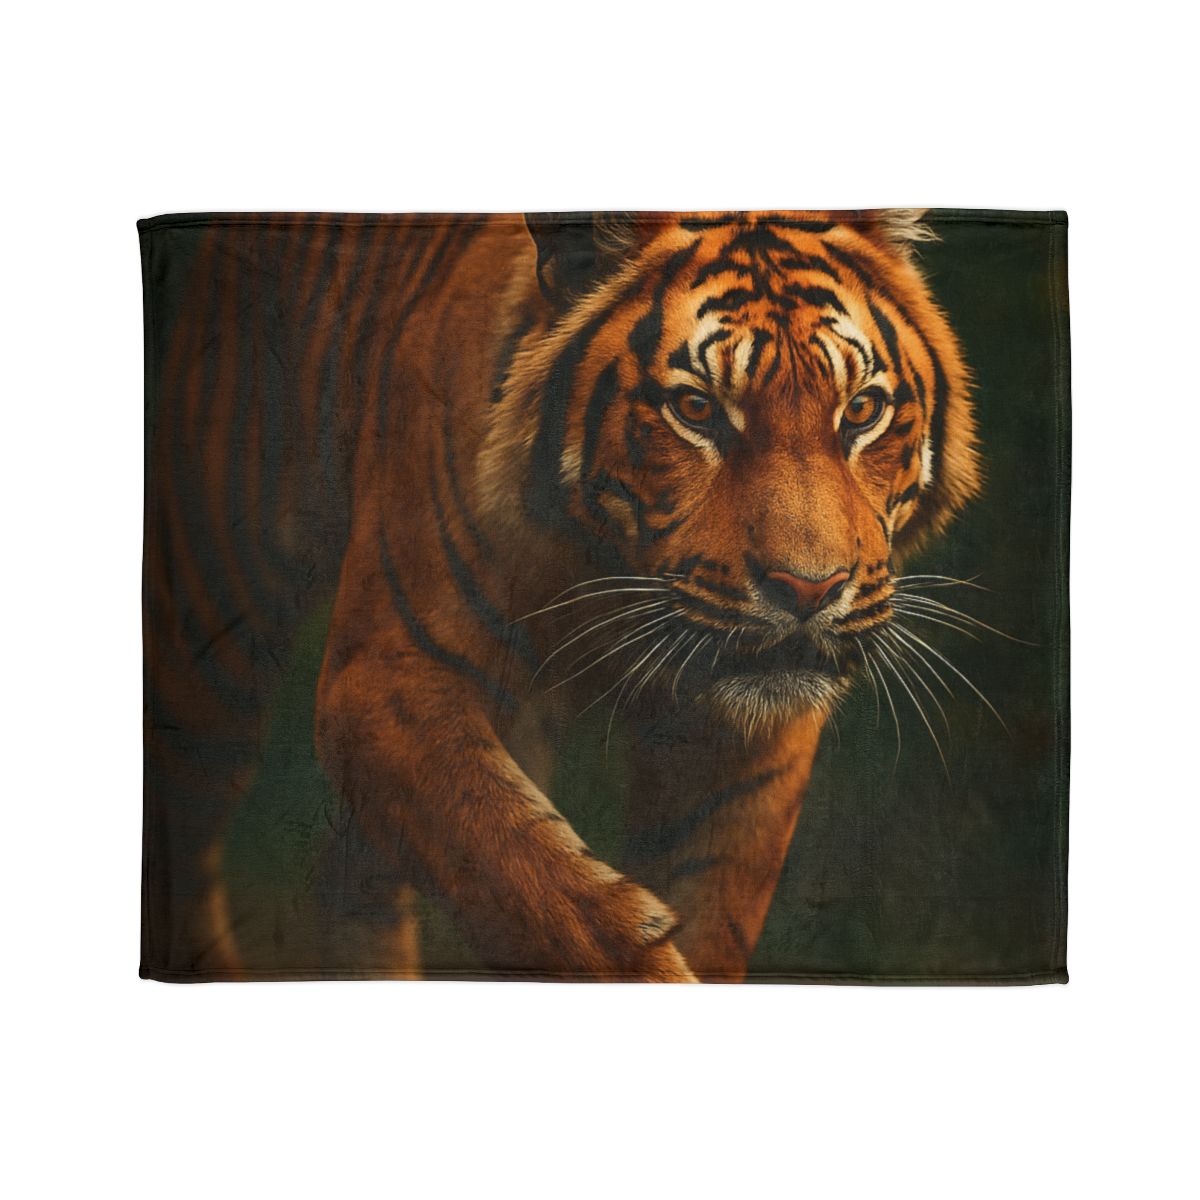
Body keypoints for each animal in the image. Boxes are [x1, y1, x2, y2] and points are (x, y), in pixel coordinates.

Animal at [139, 209, 979, 982]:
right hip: (217, 596)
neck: (604, 576)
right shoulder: (387, 679)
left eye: (861, 411)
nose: (809, 590)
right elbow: (538, 887)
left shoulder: (744, 748)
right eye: (697, 409)